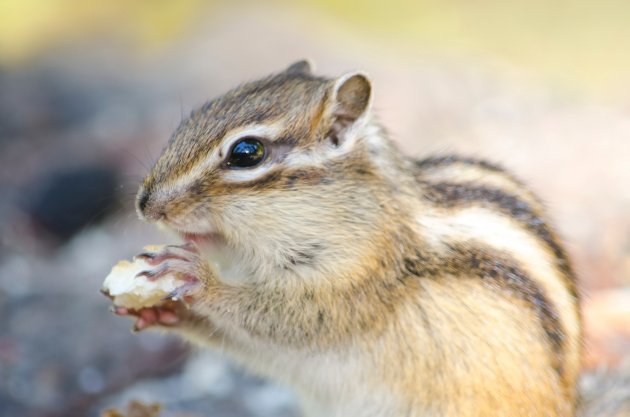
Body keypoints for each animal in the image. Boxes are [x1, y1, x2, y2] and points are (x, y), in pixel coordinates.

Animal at [117, 60, 584, 414]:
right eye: (195, 116)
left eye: (246, 153)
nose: (145, 204)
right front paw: (164, 310)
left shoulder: (358, 277)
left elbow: (291, 320)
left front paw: (197, 276)